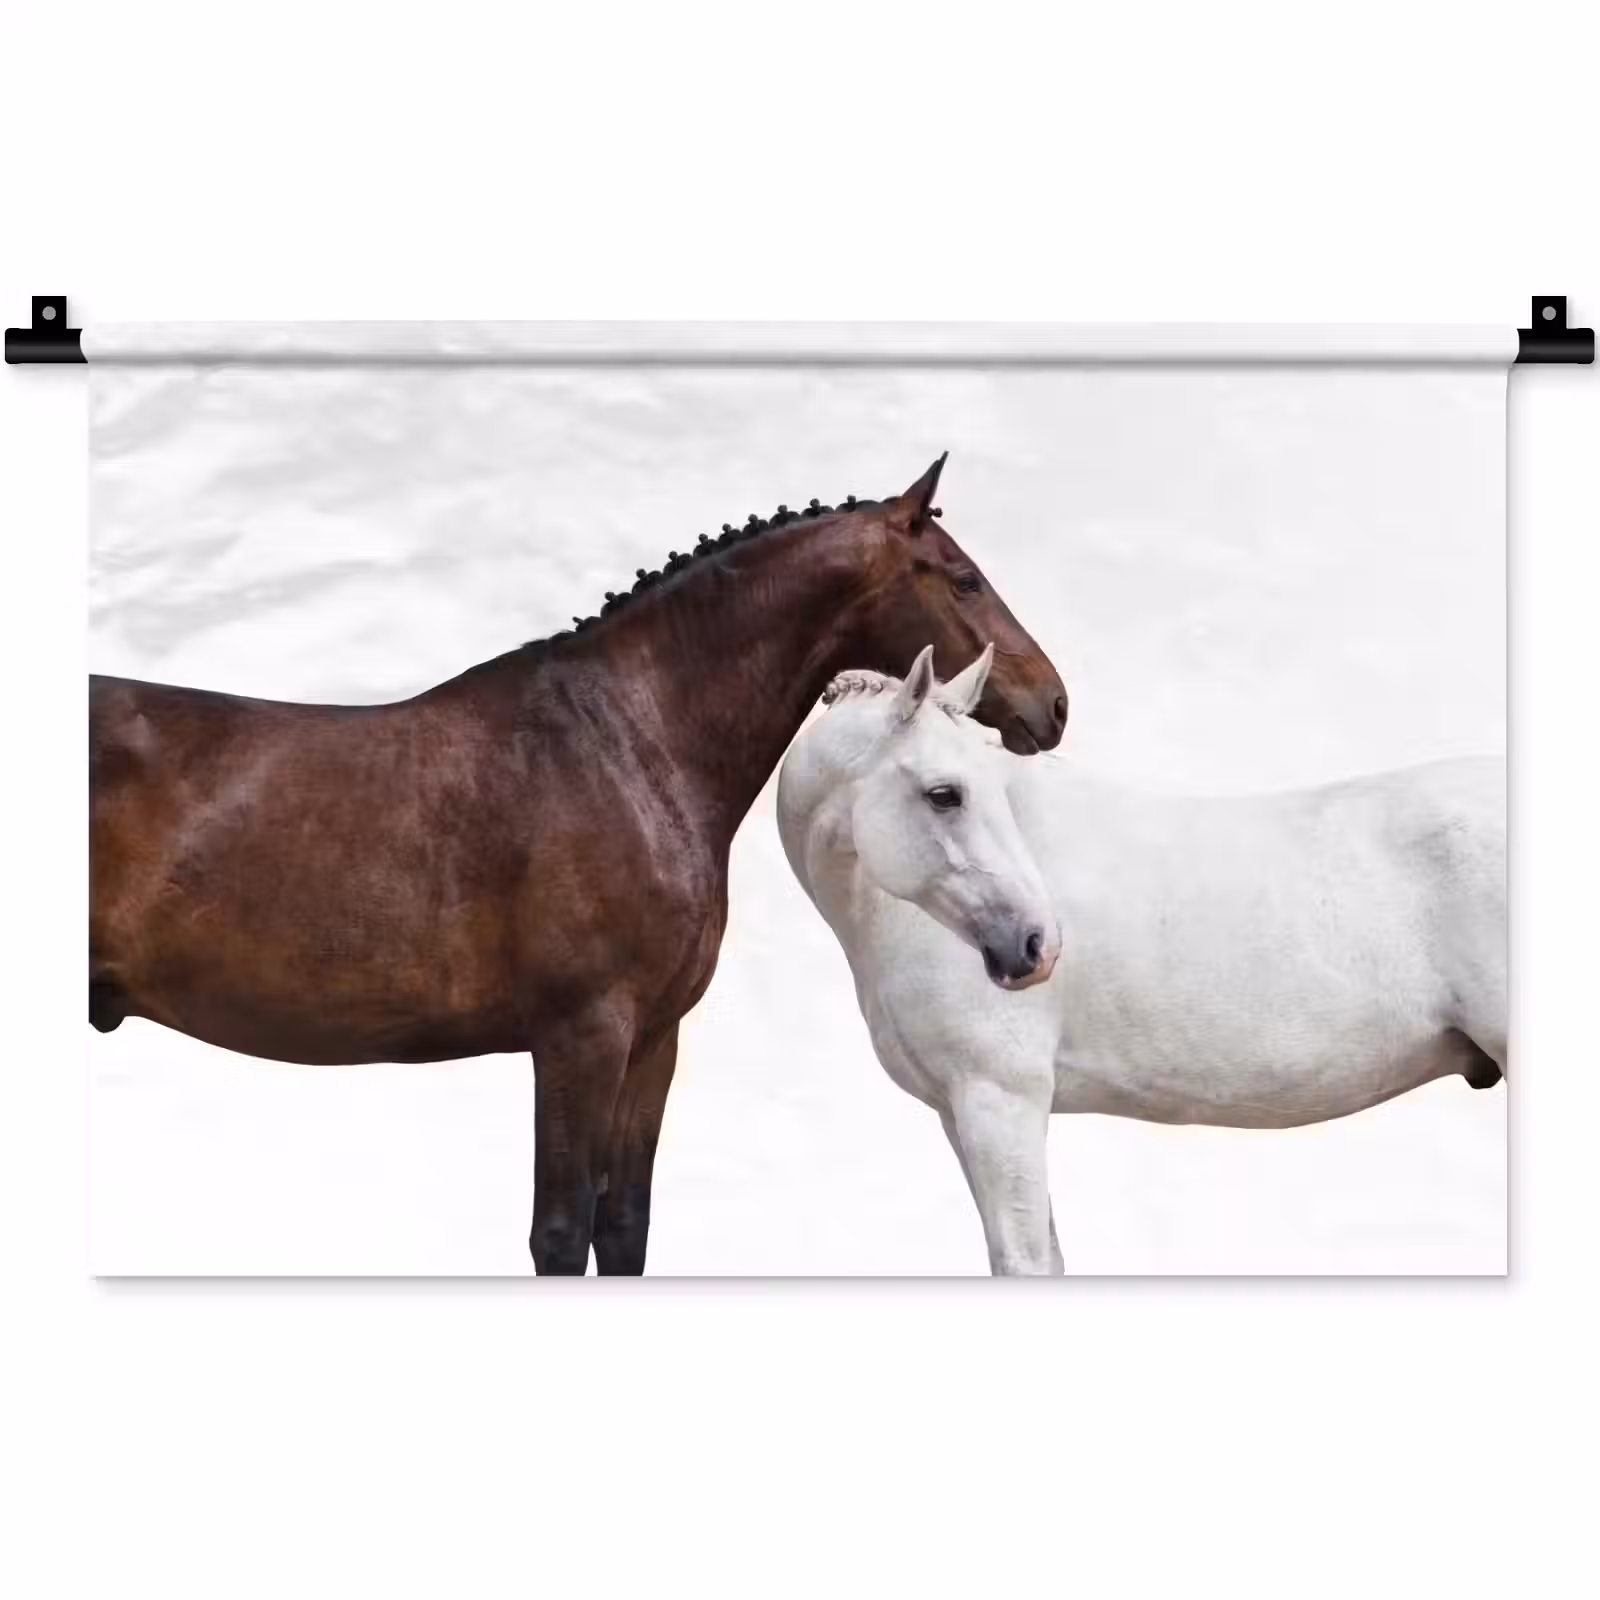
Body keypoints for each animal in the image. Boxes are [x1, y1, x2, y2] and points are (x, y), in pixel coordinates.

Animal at [88, 456, 1068, 1274]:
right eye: (965, 577)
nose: (1053, 704)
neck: (626, 742)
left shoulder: (653, 1041)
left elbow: (623, 1225)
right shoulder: (579, 1036)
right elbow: (561, 1233)